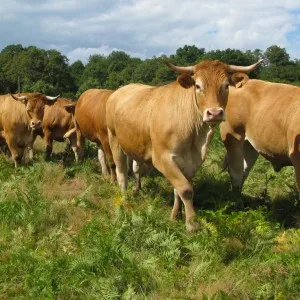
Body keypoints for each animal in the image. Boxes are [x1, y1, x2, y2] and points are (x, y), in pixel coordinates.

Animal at [106, 59, 262, 232]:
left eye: (226, 85)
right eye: (198, 86)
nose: (214, 113)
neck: (195, 134)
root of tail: (120, 90)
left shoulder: (192, 161)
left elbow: (178, 190)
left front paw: (175, 215)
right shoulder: (163, 158)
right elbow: (186, 189)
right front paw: (192, 223)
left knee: (136, 168)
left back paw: (136, 189)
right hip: (114, 139)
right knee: (121, 173)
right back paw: (125, 199)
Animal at [220, 74, 300, 205]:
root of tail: (246, 81)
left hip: (249, 145)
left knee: (244, 170)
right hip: (233, 136)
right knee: (236, 172)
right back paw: (237, 201)